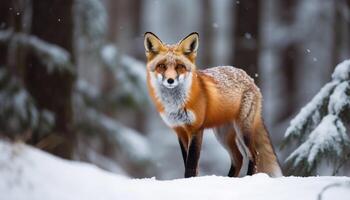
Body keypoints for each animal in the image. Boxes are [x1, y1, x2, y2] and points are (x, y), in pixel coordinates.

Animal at [144, 32, 284, 178]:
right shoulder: (180, 130)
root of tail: (249, 78)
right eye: (162, 66)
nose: (170, 80)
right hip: (223, 136)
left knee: (254, 155)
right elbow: (190, 165)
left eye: (179, 66)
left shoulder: (195, 129)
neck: (176, 104)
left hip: (242, 131)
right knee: (238, 158)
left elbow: (191, 166)